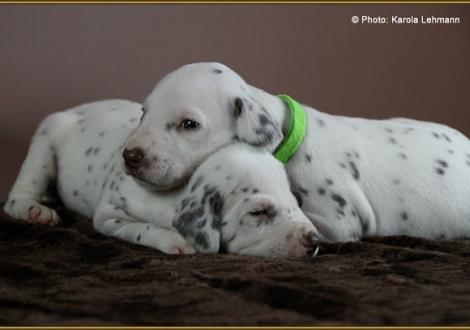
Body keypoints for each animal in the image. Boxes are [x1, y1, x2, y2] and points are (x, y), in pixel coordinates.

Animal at [3, 99, 318, 256]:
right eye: (259, 212)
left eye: (297, 202)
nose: (314, 240)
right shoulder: (110, 216)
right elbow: (142, 228)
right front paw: (175, 241)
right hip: (45, 140)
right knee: (17, 197)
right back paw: (35, 210)